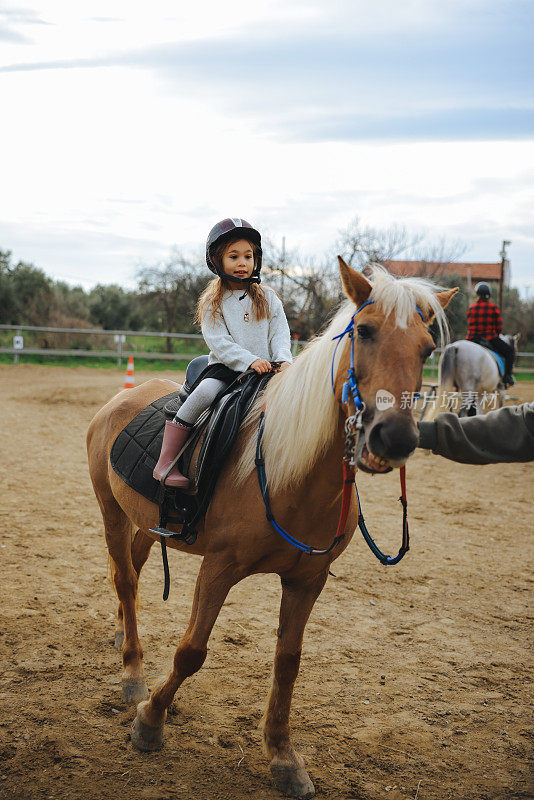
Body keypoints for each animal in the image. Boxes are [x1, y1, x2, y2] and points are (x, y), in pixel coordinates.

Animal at [87, 260, 456, 796]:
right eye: (364, 331)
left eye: (428, 349)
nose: (394, 437)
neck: (287, 473)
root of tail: (122, 399)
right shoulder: (218, 568)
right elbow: (191, 651)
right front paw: (150, 720)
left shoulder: (307, 580)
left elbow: (288, 662)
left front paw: (283, 757)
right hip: (111, 512)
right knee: (126, 580)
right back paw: (132, 673)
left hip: (146, 523)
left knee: (130, 573)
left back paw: (122, 637)